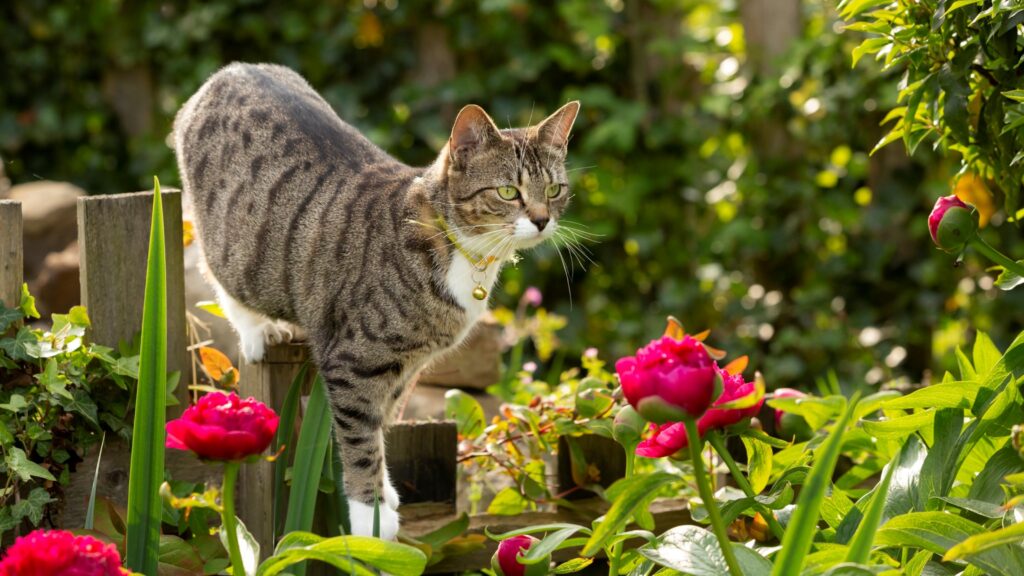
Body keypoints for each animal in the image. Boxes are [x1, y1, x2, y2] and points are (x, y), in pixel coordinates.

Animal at [172, 63, 581, 537]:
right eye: (508, 192)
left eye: (554, 190)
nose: (542, 220)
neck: (460, 248)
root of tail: (230, 70)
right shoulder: (353, 361)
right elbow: (361, 436)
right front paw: (372, 515)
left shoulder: (407, 366)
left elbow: (383, 422)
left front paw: (385, 494)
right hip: (234, 249)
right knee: (219, 274)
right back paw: (258, 331)